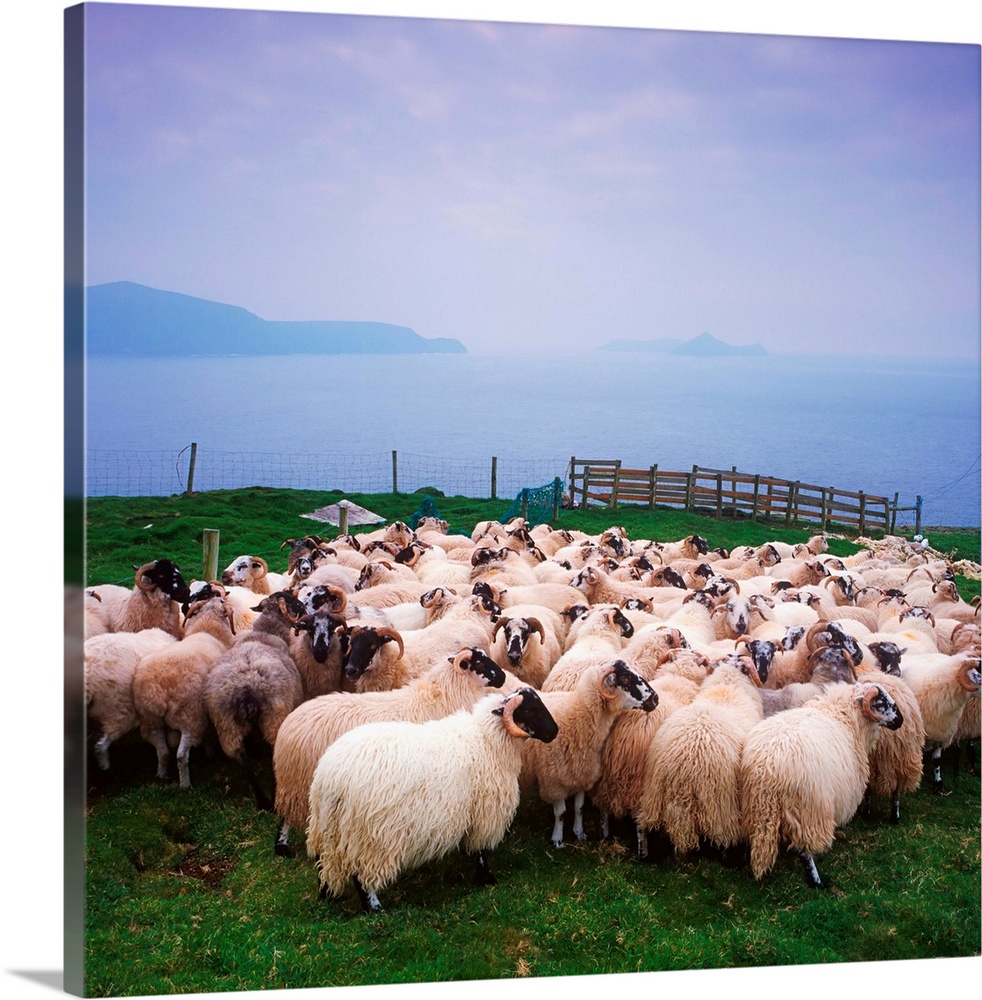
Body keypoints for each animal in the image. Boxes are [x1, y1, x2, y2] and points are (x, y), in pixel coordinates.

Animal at [130, 595, 237, 789]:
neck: (208, 630)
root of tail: (159, 689)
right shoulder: (206, 710)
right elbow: (209, 734)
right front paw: (211, 753)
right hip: (190, 718)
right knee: (181, 755)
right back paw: (185, 784)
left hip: (150, 721)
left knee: (163, 751)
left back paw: (162, 775)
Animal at [272, 647, 506, 857]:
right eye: (478, 663)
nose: (503, 677)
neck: (445, 694)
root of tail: (288, 725)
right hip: (299, 784)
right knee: (286, 816)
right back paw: (282, 846)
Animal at [306, 686, 558, 912]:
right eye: (530, 710)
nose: (555, 731)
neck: (487, 740)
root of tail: (331, 777)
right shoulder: (485, 813)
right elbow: (481, 851)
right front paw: (486, 879)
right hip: (369, 837)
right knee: (362, 876)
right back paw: (375, 909)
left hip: (327, 829)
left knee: (323, 864)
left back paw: (328, 896)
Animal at [523, 659, 657, 848]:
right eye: (624, 678)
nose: (655, 698)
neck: (576, 716)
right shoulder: (554, 780)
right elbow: (561, 813)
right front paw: (558, 840)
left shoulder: (582, 773)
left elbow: (579, 808)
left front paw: (579, 833)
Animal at [739, 680, 904, 887]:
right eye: (880, 702)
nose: (901, 720)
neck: (846, 717)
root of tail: (766, 768)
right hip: (807, 810)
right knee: (804, 849)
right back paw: (816, 881)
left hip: (758, 809)